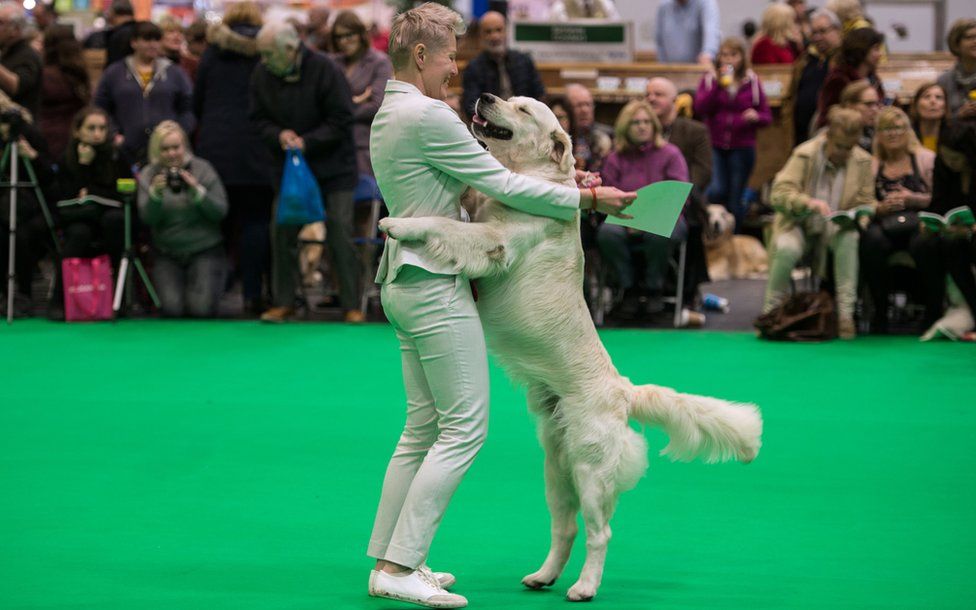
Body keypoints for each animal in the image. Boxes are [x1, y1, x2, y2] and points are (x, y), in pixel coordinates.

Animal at [382, 94, 764, 600]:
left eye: (523, 110)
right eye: (509, 100)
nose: (484, 97)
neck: (531, 177)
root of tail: (623, 390)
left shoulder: (493, 240)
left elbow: (447, 225)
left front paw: (398, 223)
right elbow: (463, 209)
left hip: (590, 468)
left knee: (599, 532)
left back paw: (584, 586)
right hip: (556, 469)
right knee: (564, 527)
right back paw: (543, 576)